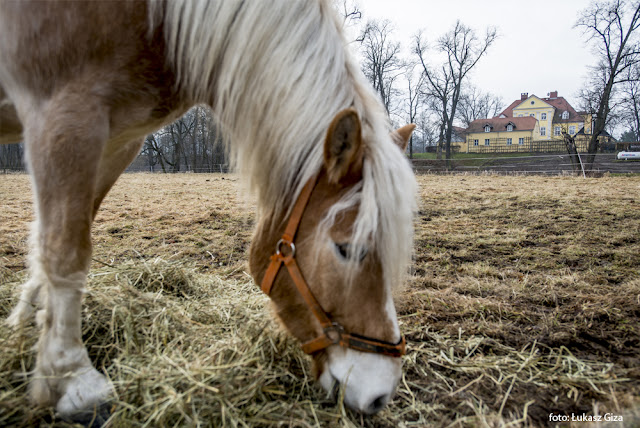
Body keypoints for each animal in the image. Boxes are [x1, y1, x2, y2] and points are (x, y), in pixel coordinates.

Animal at [0, 0, 417, 420]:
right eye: (347, 249)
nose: (380, 392)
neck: (157, 21)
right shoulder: (65, 114)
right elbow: (66, 248)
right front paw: (72, 378)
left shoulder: (120, 139)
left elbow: (65, 230)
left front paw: (28, 324)